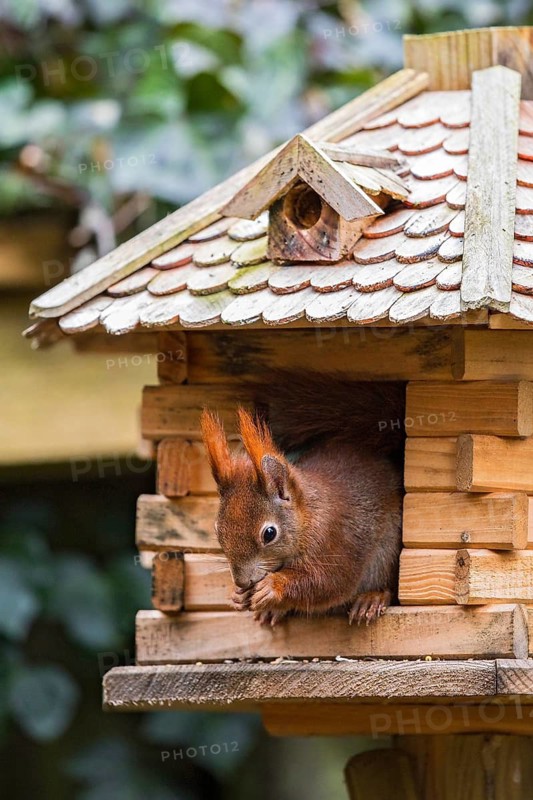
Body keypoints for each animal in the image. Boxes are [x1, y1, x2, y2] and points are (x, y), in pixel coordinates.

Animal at [200, 371, 405, 627]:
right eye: (217, 529)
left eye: (269, 534)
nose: (242, 581)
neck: (308, 516)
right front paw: (238, 596)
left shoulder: (337, 539)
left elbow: (328, 581)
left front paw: (272, 587)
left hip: (388, 552)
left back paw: (373, 597)